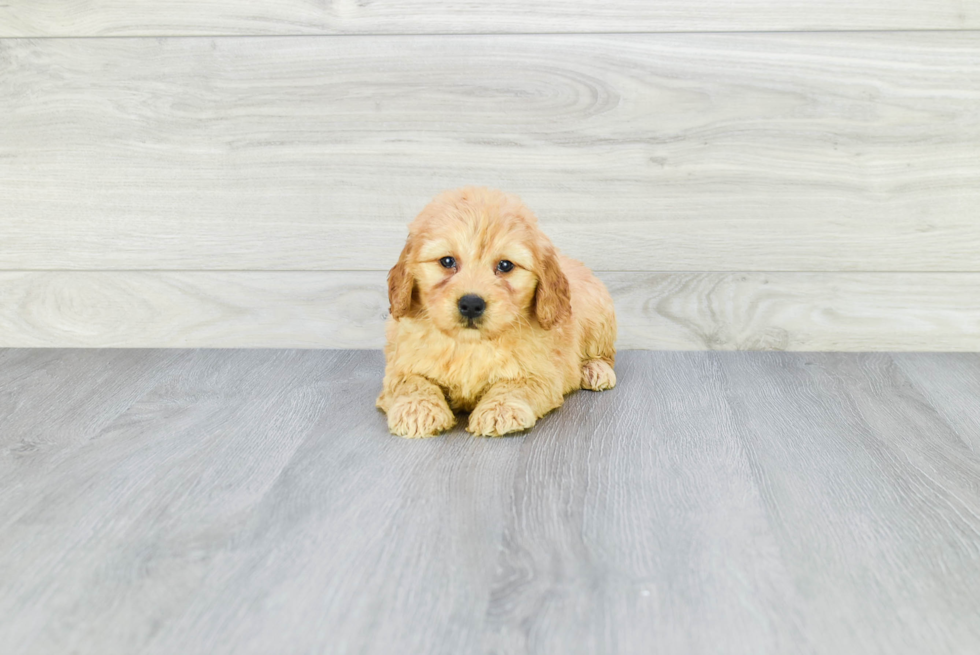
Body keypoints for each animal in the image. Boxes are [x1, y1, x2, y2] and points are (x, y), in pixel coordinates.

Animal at [378, 187, 616, 438]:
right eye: (447, 261)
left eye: (505, 265)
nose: (471, 304)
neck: (471, 344)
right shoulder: (400, 363)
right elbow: (411, 382)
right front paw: (417, 408)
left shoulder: (541, 372)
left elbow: (516, 385)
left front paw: (500, 409)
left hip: (599, 316)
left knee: (604, 354)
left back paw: (595, 369)